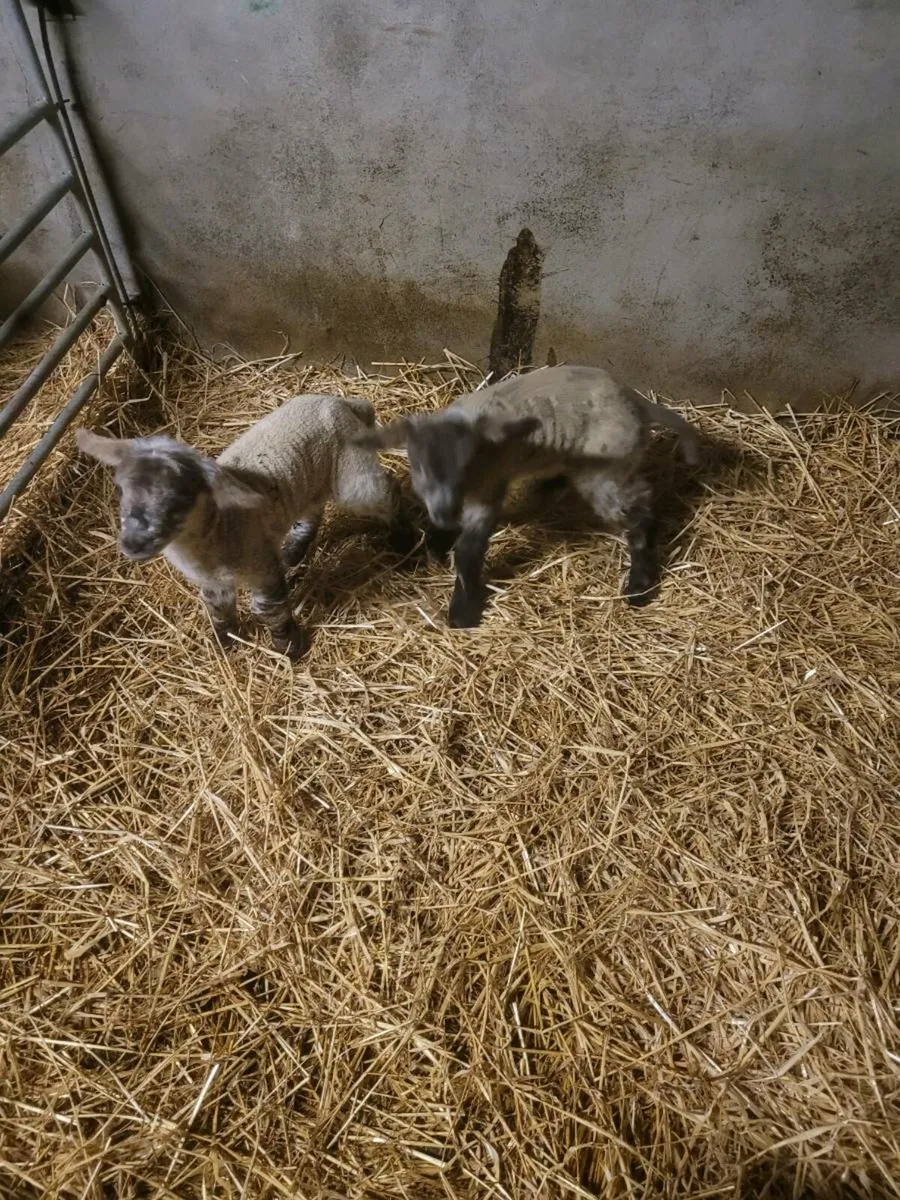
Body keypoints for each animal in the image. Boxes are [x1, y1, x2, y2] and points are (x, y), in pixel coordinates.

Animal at [76, 394, 415, 657]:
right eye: (121, 488)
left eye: (181, 498)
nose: (132, 544)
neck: (220, 528)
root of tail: (344, 402)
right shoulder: (213, 580)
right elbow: (217, 608)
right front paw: (225, 642)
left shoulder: (260, 564)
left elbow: (268, 608)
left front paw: (289, 647)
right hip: (313, 477)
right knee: (312, 508)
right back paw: (294, 550)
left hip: (352, 471)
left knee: (387, 490)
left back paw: (405, 544)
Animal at [354, 365, 701, 628]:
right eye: (419, 467)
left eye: (466, 464)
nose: (445, 514)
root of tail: (638, 403)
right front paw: (436, 546)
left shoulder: (488, 490)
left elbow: (469, 549)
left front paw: (463, 611)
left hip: (607, 471)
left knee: (641, 511)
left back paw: (640, 585)